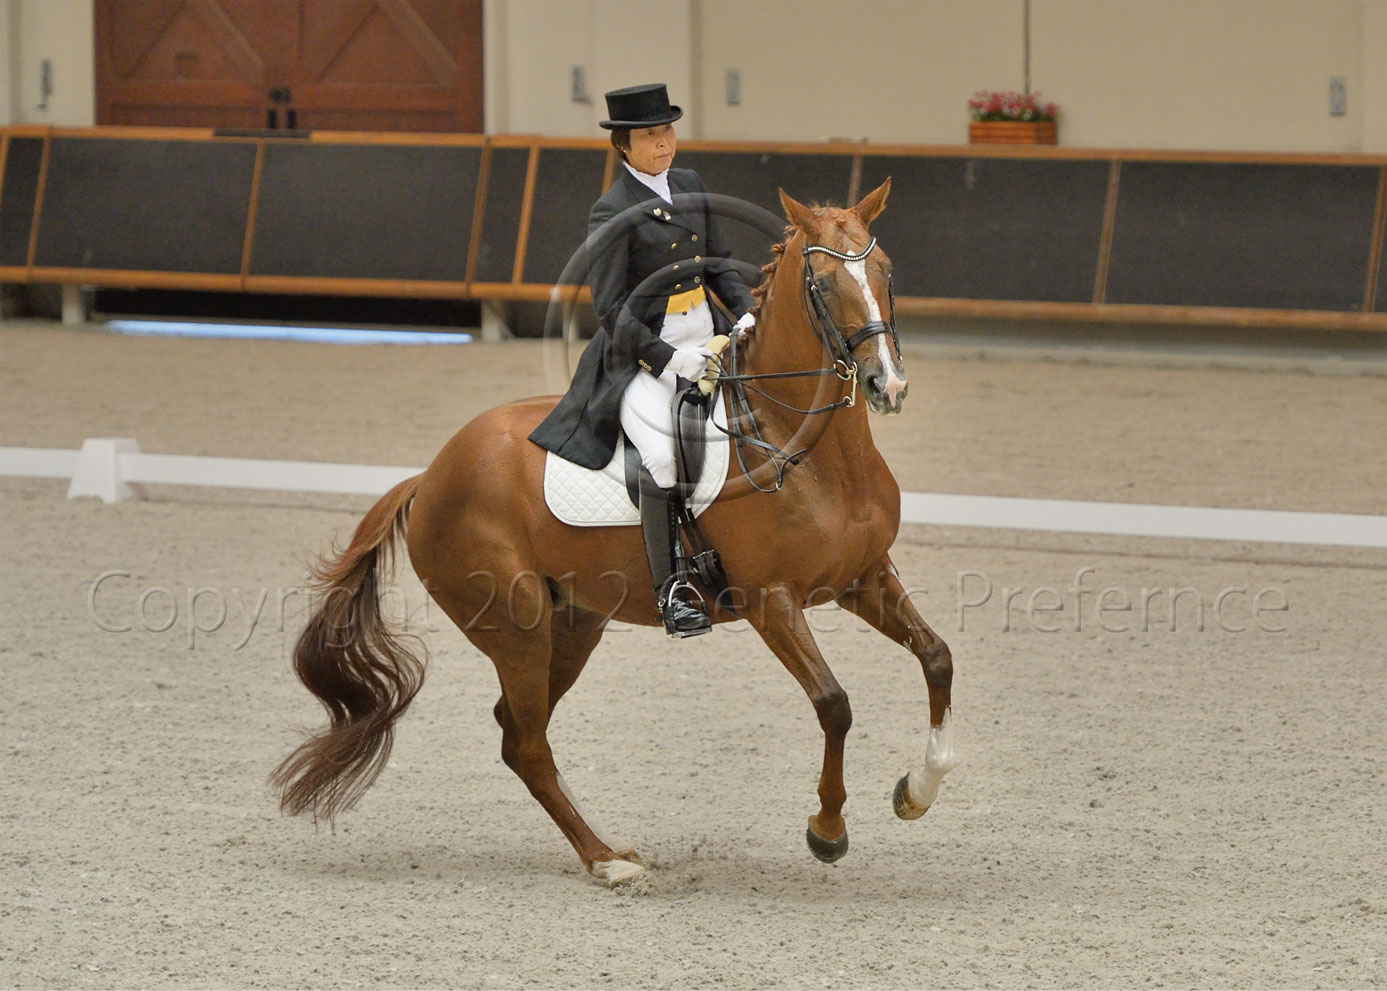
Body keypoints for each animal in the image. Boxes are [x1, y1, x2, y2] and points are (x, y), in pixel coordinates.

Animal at [276, 181, 959, 882]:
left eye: (886, 273)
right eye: (822, 284)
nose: (887, 384)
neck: (811, 451)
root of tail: (431, 475)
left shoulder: (864, 576)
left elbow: (937, 657)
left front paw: (917, 792)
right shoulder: (772, 601)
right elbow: (833, 703)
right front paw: (826, 829)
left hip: (575, 623)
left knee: (518, 736)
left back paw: (603, 850)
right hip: (517, 630)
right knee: (528, 742)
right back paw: (608, 862)